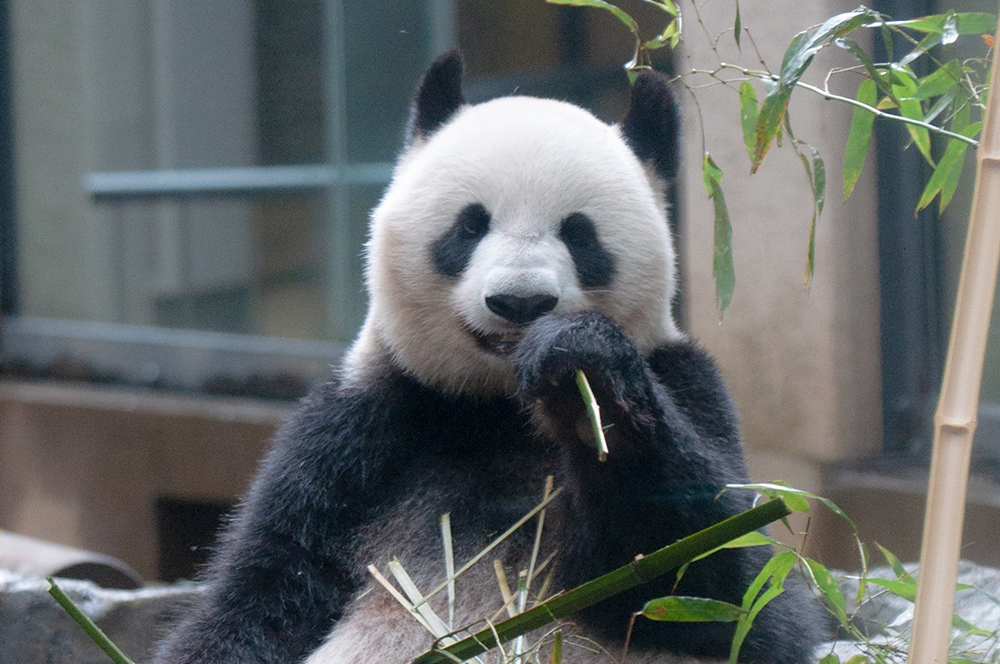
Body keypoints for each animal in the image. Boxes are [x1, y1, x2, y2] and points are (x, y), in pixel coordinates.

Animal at [152, 53, 824, 664]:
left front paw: (581, 377)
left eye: (579, 234)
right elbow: (257, 598)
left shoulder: (686, 383)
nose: (520, 300)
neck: (497, 407)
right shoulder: (358, 433)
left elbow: (727, 591)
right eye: (470, 226)